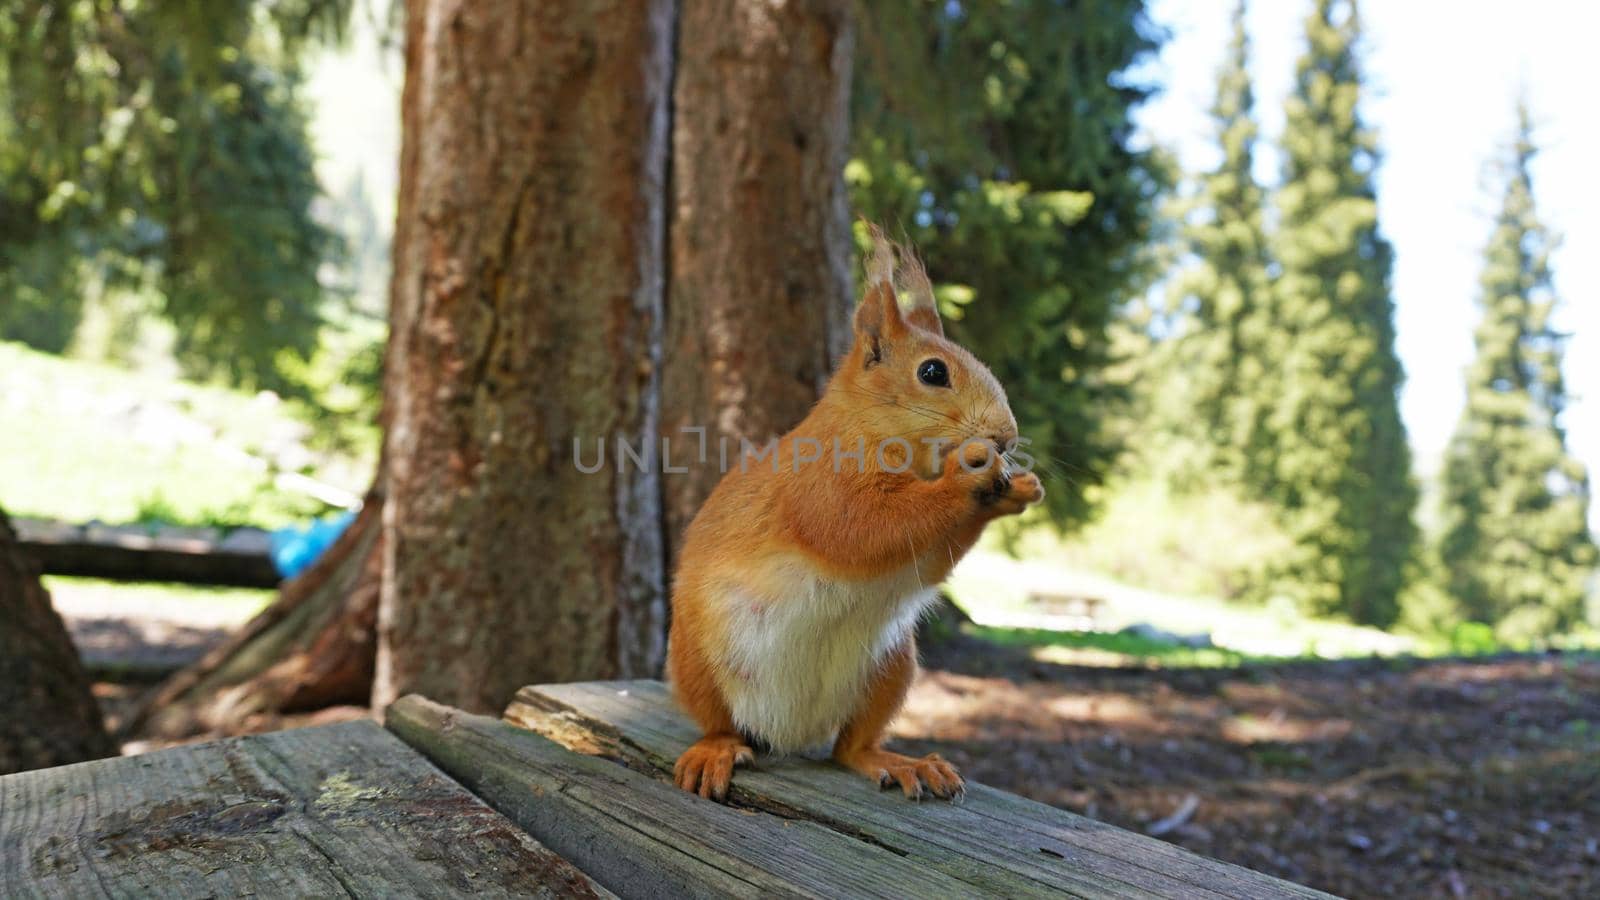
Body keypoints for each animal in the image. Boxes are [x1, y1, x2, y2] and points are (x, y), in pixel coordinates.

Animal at [668, 225, 1043, 797]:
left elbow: (925, 558)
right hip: (698, 660)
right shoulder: (819, 486)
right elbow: (860, 530)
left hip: (890, 670)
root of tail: (790, 731)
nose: (1006, 437)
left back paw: (901, 763)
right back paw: (715, 751)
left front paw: (1018, 487)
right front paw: (968, 474)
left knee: (850, 748)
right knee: (719, 723)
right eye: (932, 372)